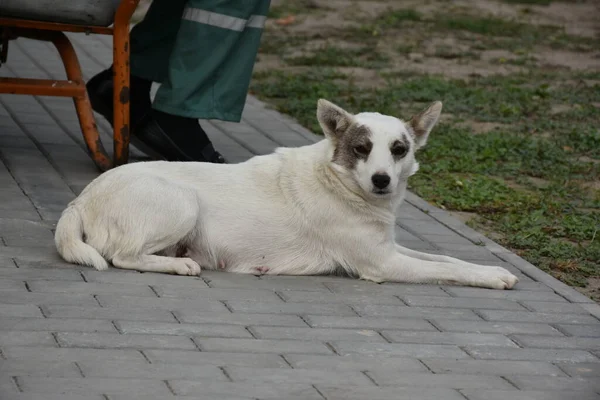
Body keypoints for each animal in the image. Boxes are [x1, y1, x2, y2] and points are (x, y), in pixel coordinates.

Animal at [54, 98, 516, 290]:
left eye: (399, 149)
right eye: (361, 149)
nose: (382, 180)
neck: (338, 181)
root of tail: (79, 200)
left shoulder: (389, 247)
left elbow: (447, 259)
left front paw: (494, 268)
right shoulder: (382, 263)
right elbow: (448, 270)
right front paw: (490, 278)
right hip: (183, 203)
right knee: (123, 256)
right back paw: (179, 266)